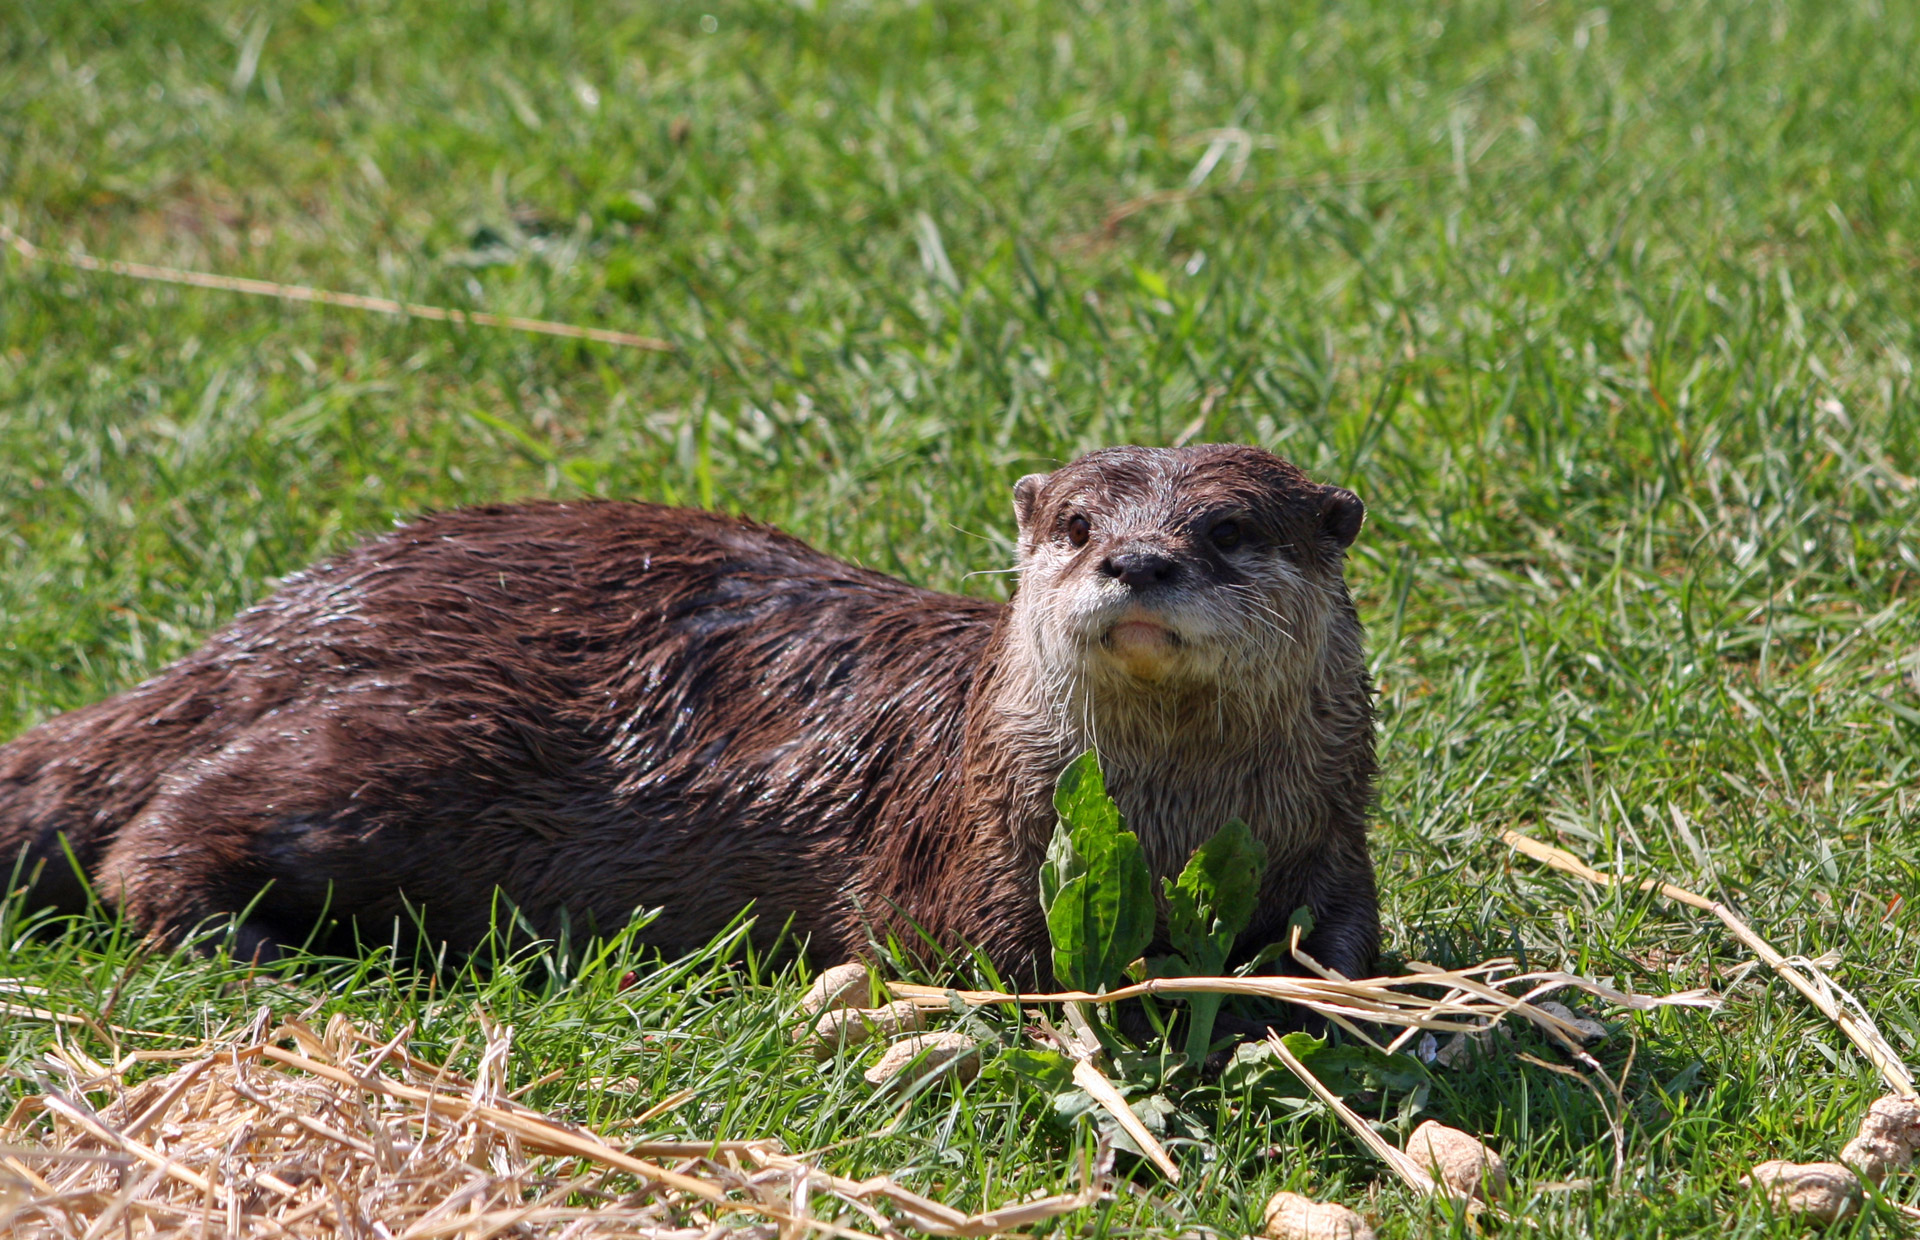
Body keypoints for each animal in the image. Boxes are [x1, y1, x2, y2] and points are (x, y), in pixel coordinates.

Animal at [0, 447, 1382, 990]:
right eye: (1082, 522)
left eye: (1228, 528)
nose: (1139, 562)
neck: (1175, 819)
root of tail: (284, 618)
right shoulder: (962, 842)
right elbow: (966, 956)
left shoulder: (1331, 832)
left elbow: (1347, 938)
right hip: (394, 740)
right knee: (155, 834)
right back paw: (257, 948)